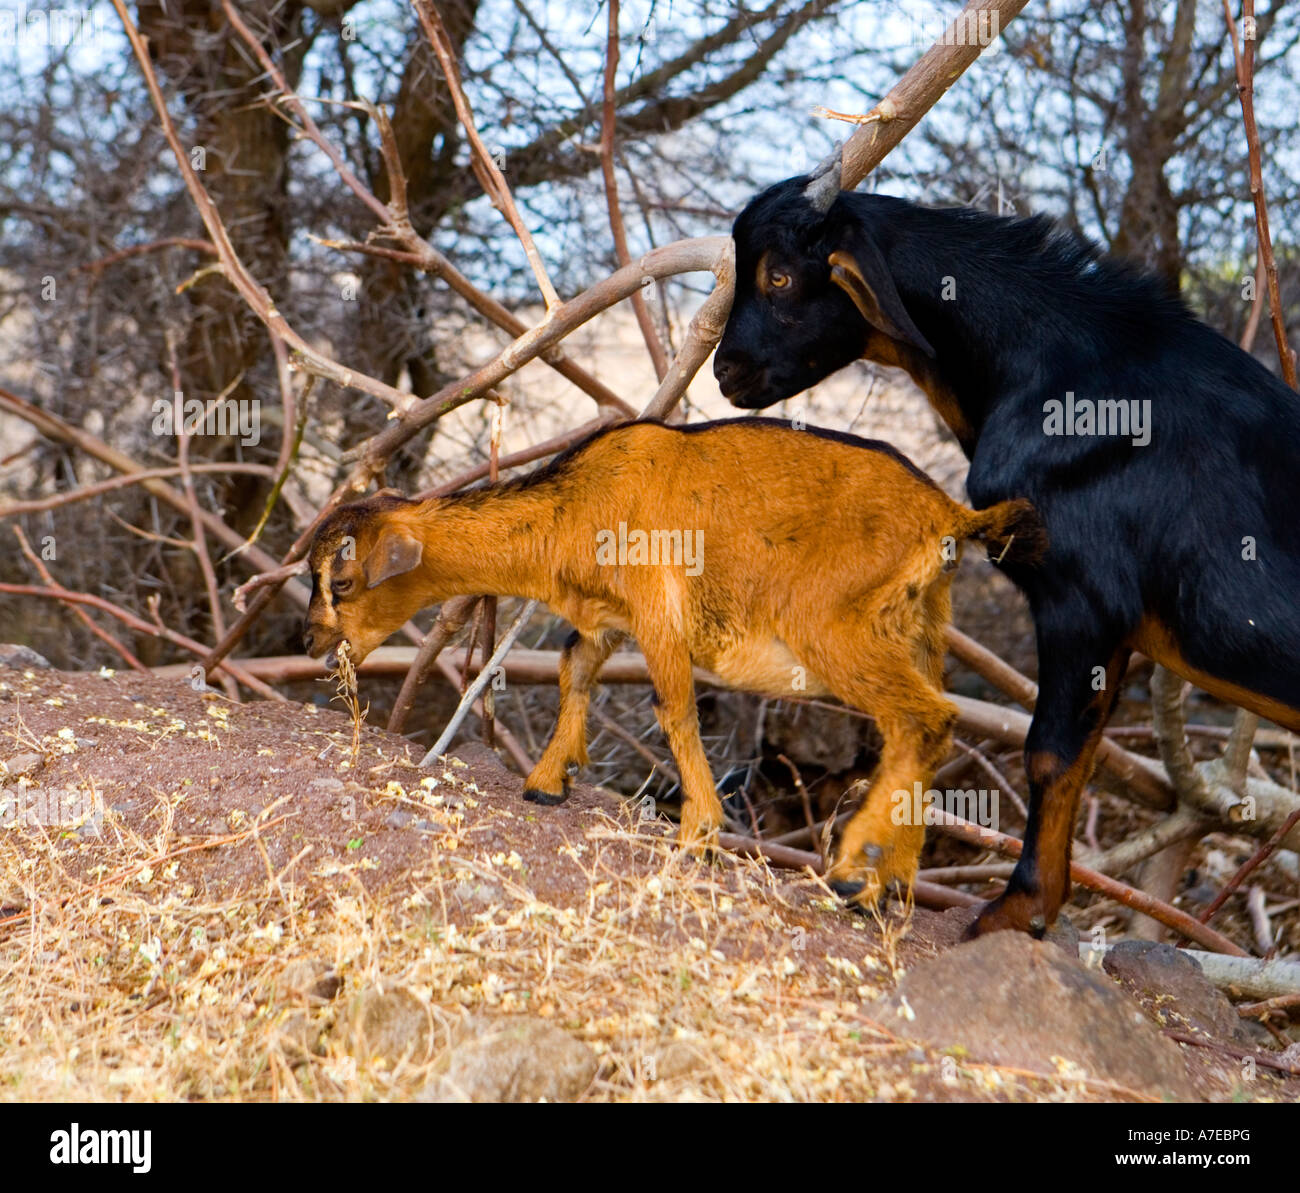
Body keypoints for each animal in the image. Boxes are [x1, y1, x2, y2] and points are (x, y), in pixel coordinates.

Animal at [302, 417, 1042, 899]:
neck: (575, 505)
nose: (310, 642)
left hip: (835, 628)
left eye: (342, 582)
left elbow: (674, 708)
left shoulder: (658, 609)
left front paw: (698, 834)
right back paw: (897, 878)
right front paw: (547, 781)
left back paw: (855, 873)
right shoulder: (608, 619)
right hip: (923, 629)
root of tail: (950, 517)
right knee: (929, 727)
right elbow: (575, 671)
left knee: (925, 718)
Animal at [713, 153, 1300, 938]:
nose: (726, 371)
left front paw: (1013, 910)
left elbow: (1048, 753)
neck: (1054, 368)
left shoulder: (1080, 600)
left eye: (779, 276)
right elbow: (1080, 751)